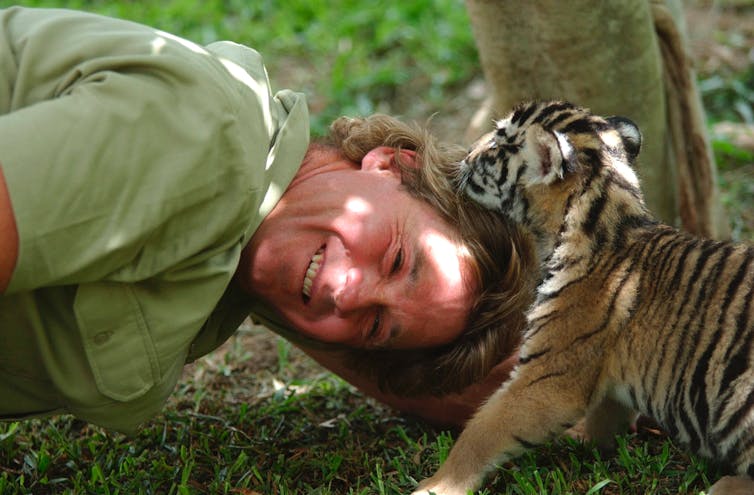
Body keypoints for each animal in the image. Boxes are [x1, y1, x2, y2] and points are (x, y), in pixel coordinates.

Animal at [412, 100, 754, 495]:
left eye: (497, 144)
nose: (466, 153)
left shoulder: (548, 377)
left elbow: (482, 430)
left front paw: (436, 485)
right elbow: (606, 413)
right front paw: (585, 438)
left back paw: (726, 485)